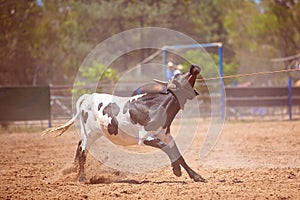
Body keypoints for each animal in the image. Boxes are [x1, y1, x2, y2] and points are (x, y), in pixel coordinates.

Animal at [42, 64, 206, 183]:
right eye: (181, 76)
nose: (194, 67)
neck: (156, 107)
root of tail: (88, 97)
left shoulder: (166, 135)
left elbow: (177, 153)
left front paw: (196, 176)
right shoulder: (146, 138)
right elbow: (167, 149)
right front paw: (176, 170)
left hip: (92, 133)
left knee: (78, 146)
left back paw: (74, 171)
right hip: (89, 133)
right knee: (82, 152)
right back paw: (81, 178)